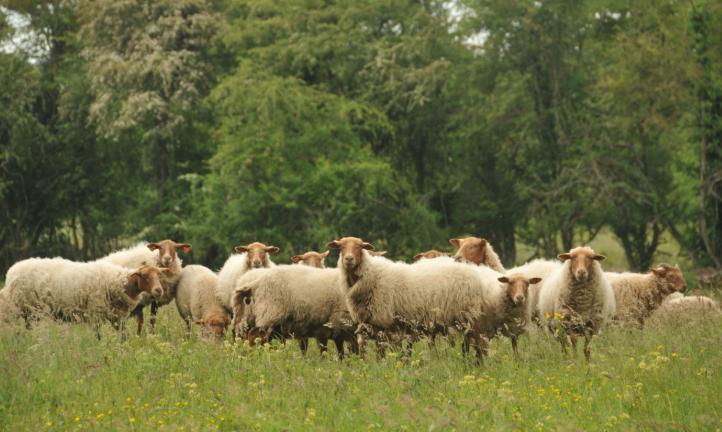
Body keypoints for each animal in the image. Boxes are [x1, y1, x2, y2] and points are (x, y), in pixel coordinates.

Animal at [3, 257, 167, 331]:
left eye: (159, 275)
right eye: (144, 276)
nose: (159, 290)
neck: (118, 282)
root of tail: (11, 272)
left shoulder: (117, 317)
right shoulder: (95, 313)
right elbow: (98, 336)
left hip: (31, 312)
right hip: (26, 309)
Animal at [327, 236, 520, 364]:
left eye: (360, 247)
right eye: (341, 247)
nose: (348, 259)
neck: (372, 275)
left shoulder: (383, 323)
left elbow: (383, 352)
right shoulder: (369, 324)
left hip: (470, 318)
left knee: (481, 345)